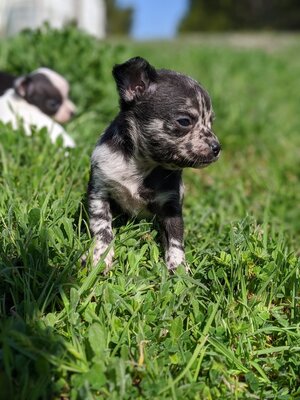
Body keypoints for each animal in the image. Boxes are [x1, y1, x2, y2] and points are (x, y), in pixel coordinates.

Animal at [86, 57, 220, 272]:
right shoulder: (99, 191)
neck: (140, 165)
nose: (217, 147)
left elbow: (175, 239)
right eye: (184, 121)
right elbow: (102, 227)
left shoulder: (171, 206)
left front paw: (179, 267)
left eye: (210, 122)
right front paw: (100, 255)